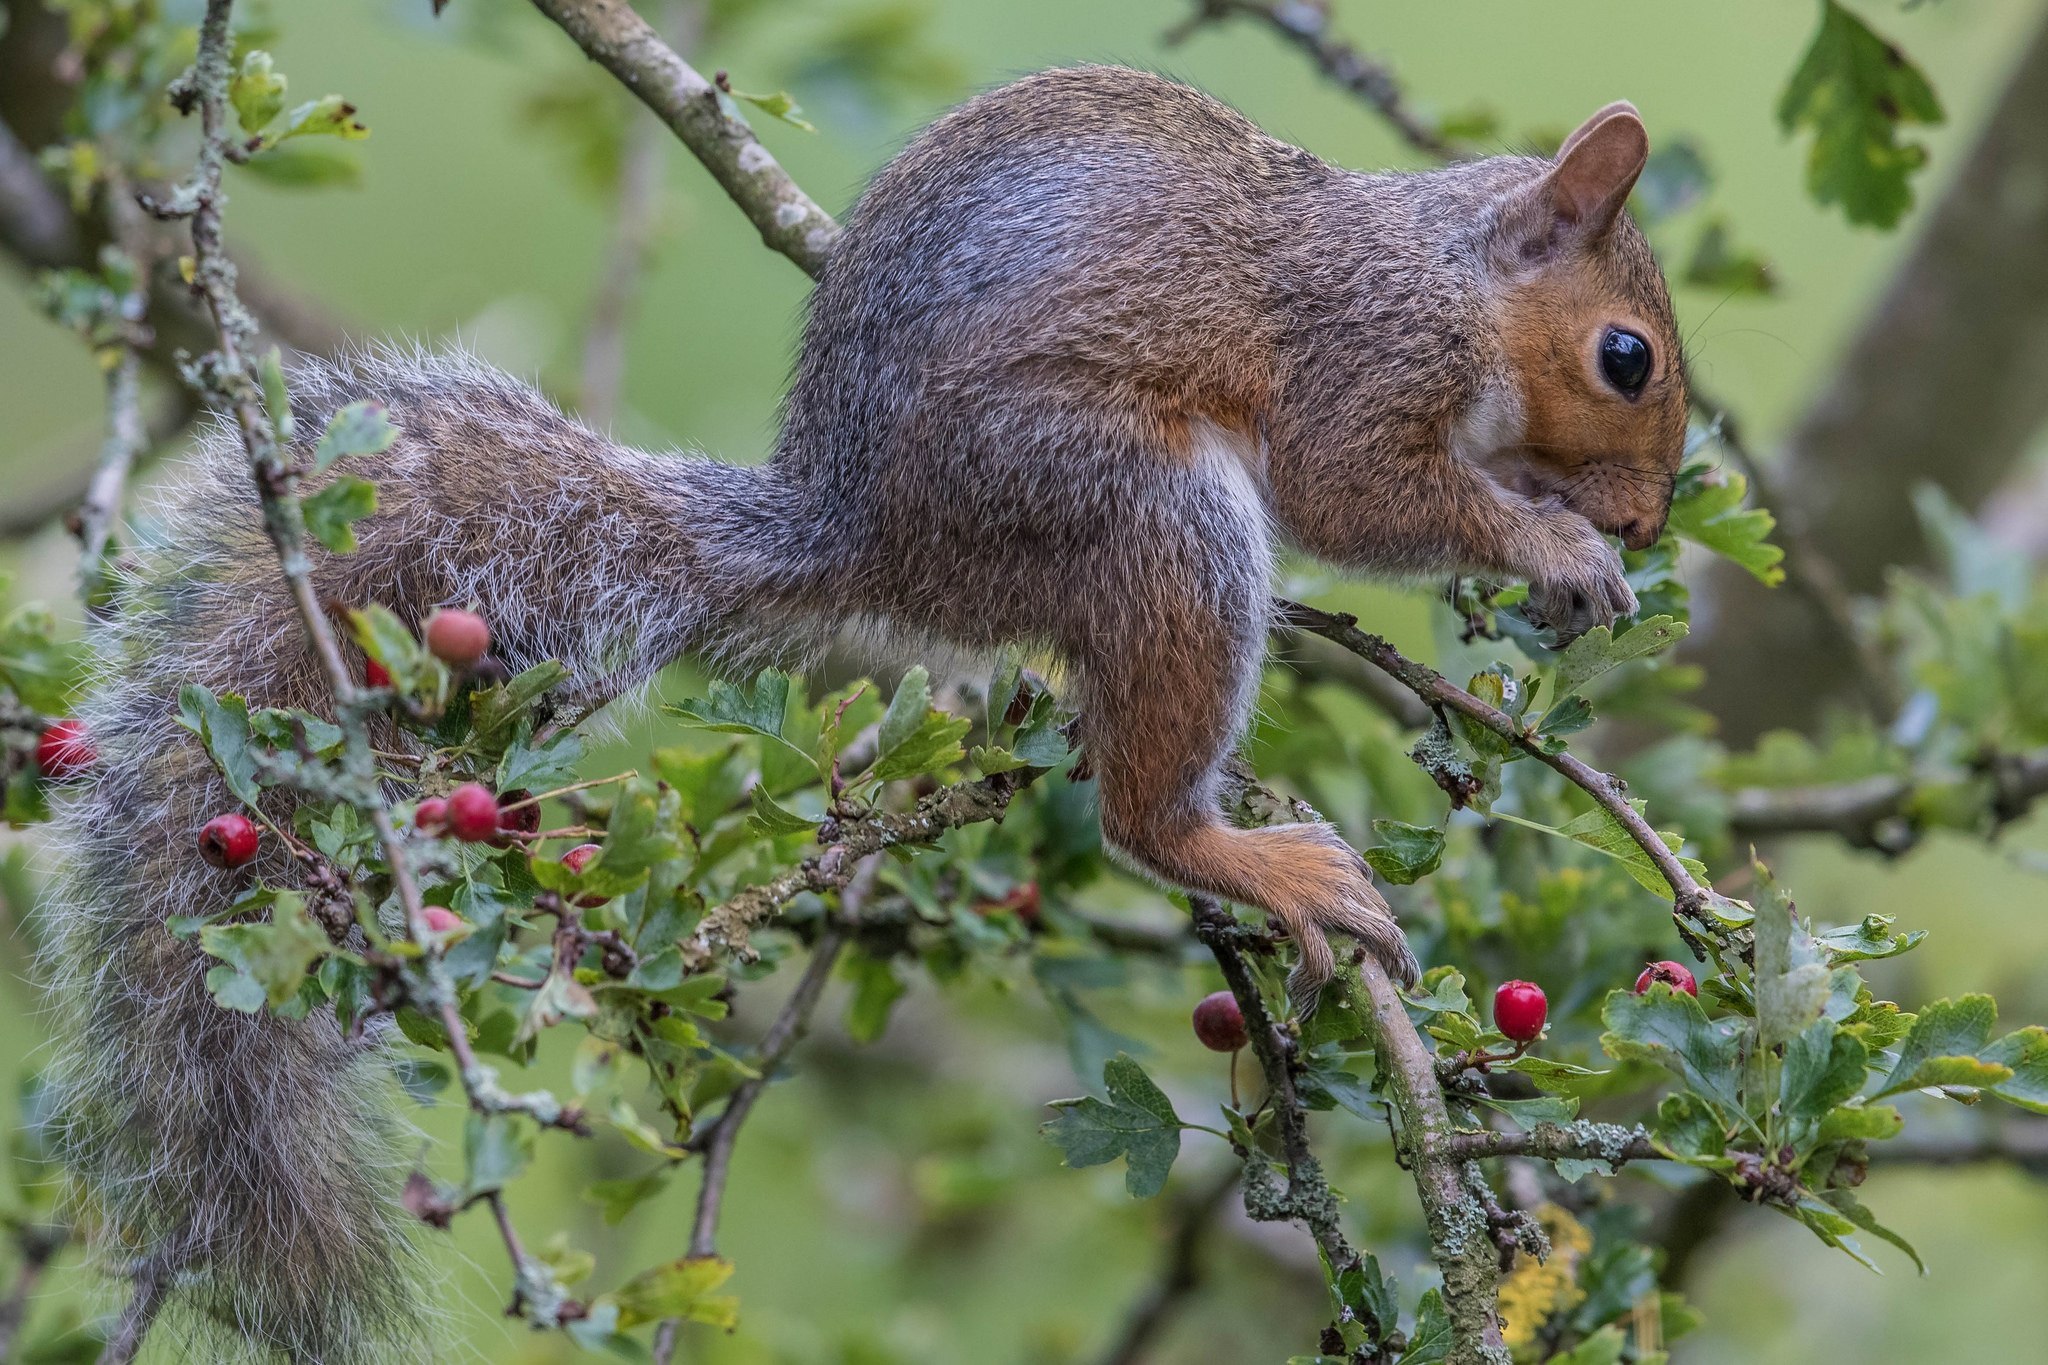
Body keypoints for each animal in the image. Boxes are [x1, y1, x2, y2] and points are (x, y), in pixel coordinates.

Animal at [44, 66, 1679, 1365]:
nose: (1651, 523)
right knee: (1140, 806)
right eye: (1627, 357)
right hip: (1141, 513)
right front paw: (1548, 548)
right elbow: (1359, 492)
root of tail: (866, 537)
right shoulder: (1362, 361)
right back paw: (1247, 855)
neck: (1447, 276)